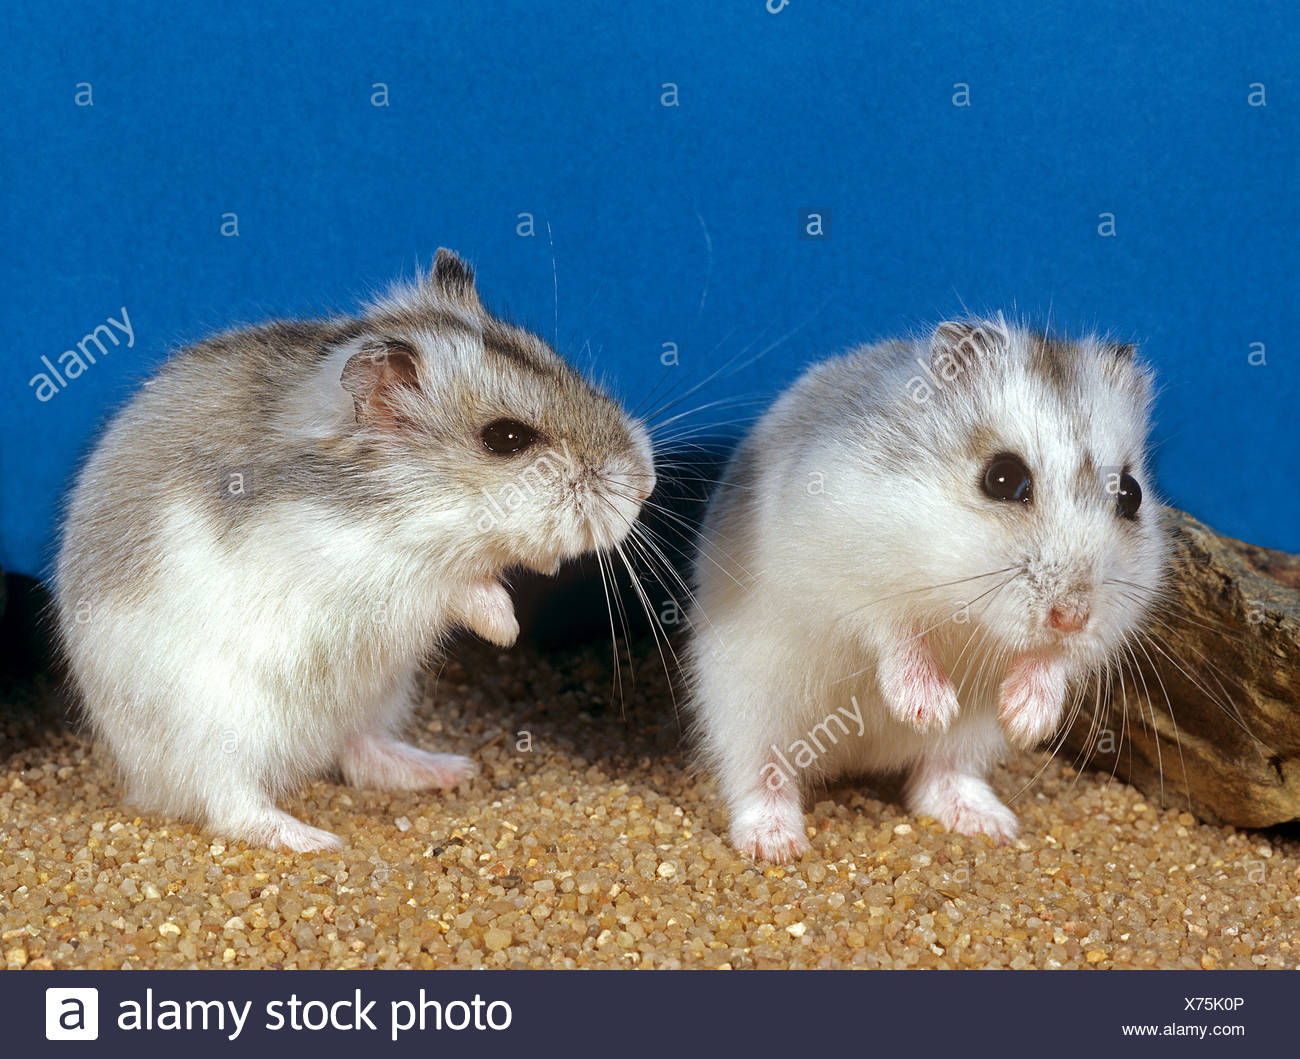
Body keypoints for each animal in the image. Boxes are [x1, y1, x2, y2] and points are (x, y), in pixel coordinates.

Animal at [55, 249, 655, 852]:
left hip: (377, 698)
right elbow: (461, 587)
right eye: (507, 439)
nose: (645, 485)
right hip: (215, 730)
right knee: (232, 806)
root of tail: (140, 776)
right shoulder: (375, 576)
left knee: (358, 752)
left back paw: (450, 770)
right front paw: (508, 631)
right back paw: (315, 840)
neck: (406, 504)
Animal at [685, 316, 1167, 862]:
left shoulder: (1110, 622)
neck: (957, 601)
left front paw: (1025, 719)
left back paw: (991, 823)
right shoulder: (848, 581)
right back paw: (777, 844)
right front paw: (929, 709)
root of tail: (856, 760)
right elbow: (895, 635)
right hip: (746, 704)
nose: (1071, 617)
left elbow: (1055, 659)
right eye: (1003, 478)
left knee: (941, 774)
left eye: (1131, 494)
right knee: (760, 777)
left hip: (972, 738)